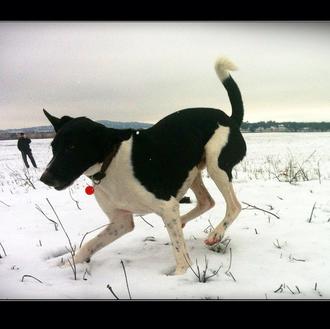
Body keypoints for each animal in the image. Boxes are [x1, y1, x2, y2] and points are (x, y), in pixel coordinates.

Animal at [40, 57, 246, 274]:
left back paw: (216, 234)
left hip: (217, 164)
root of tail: (230, 119)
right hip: (191, 171)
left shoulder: (167, 206)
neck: (110, 164)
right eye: (53, 147)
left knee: (234, 206)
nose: (45, 178)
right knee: (207, 201)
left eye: (72, 148)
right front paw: (67, 265)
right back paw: (184, 221)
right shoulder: (121, 222)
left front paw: (181, 275)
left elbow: (180, 254)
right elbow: (88, 245)